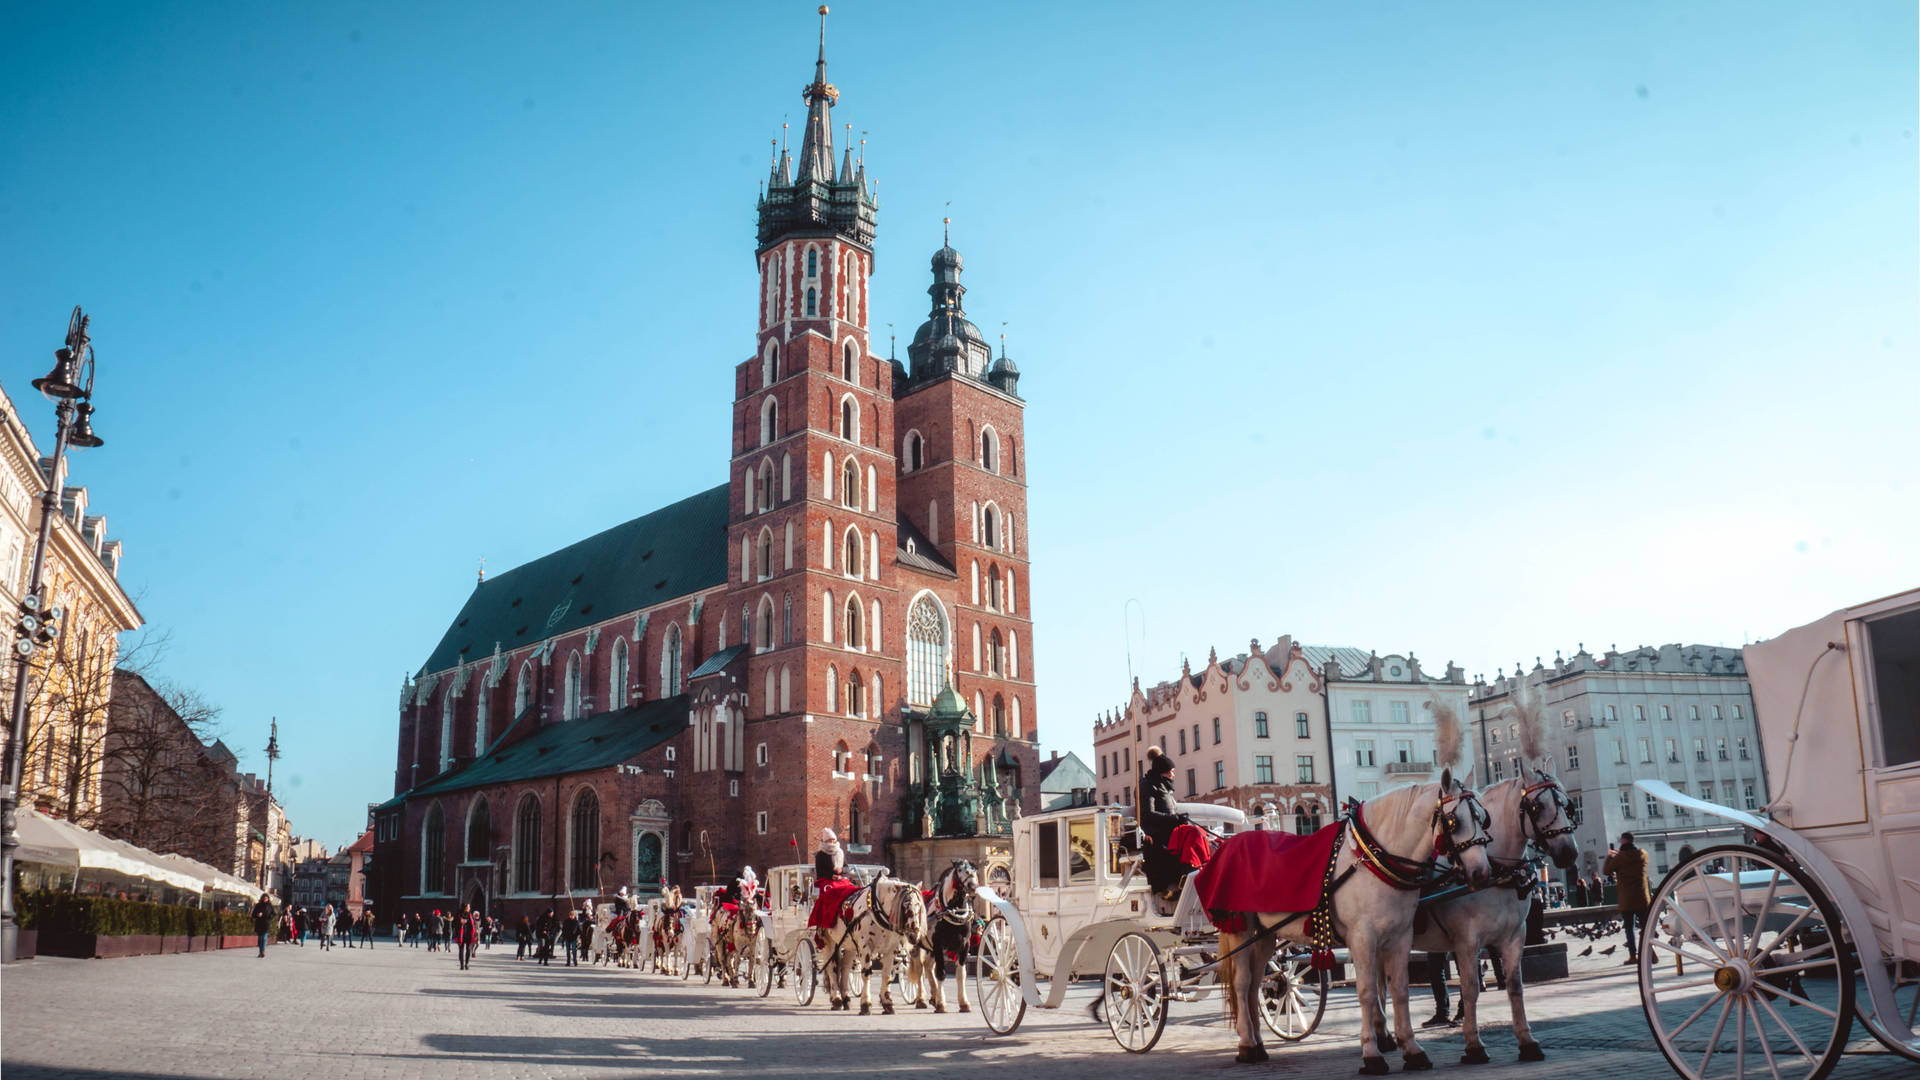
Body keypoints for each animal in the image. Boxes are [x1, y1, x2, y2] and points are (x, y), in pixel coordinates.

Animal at [1213, 768, 1497, 1068]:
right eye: (1454, 822)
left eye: (1483, 818)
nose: (1481, 873)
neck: (1371, 859)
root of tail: (1230, 844)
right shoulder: (1362, 938)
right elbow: (1368, 992)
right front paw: (1372, 1054)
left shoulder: (1399, 937)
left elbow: (1399, 990)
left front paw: (1412, 1049)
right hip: (1240, 931)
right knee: (1243, 984)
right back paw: (1246, 1045)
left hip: (1265, 935)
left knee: (1256, 985)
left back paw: (1258, 1043)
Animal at [1397, 764, 1574, 1060]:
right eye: (1537, 806)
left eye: (1566, 803)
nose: (1569, 852)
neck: (1496, 873)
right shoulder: (1466, 942)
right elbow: (1471, 989)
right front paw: (1473, 1045)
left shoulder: (1514, 937)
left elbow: (1515, 986)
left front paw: (1527, 1041)